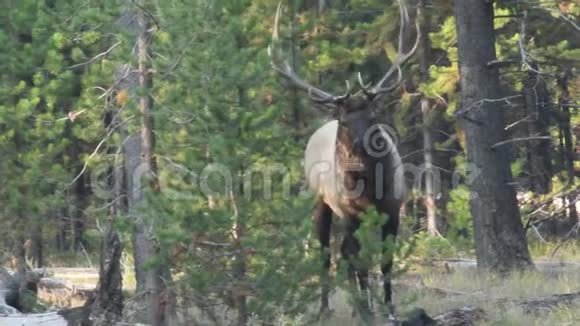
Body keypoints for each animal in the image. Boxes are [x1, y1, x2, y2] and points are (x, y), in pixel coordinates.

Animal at [270, 0, 420, 318]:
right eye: (346, 121)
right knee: (328, 254)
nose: (363, 147)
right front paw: (370, 310)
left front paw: (388, 307)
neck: (372, 190)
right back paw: (327, 307)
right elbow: (360, 261)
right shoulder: (351, 214)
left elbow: (386, 262)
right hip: (320, 202)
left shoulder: (394, 208)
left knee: (344, 254)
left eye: (372, 115)